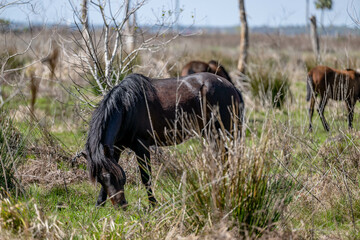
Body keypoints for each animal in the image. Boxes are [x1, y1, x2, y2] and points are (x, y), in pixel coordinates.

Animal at [84, 71, 245, 208]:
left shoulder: (142, 146)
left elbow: (146, 177)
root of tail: (232, 87)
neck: (127, 107)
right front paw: (99, 204)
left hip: (226, 133)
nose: (121, 205)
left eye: (119, 177)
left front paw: (153, 204)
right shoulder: (115, 149)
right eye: (100, 178)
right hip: (212, 135)